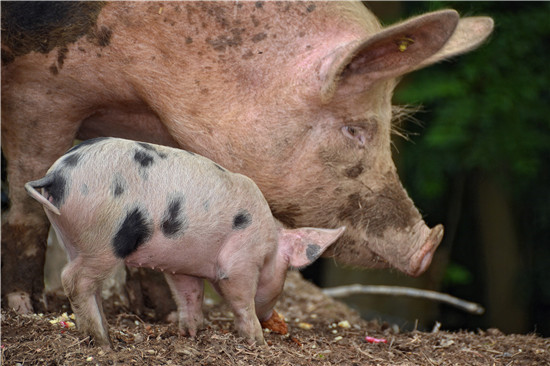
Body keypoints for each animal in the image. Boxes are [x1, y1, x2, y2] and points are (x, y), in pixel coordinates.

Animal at [0, 0, 492, 314]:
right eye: (355, 130)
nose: (428, 246)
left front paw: (161, 314)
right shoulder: (41, 88)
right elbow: (28, 203)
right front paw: (28, 310)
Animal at [27, 138, 344, 346]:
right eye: (287, 273)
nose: (272, 318)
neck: (270, 243)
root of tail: (56, 174)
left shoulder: (183, 266)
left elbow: (190, 295)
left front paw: (191, 334)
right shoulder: (241, 261)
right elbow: (240, 298)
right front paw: (257, 341)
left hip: (70, 236)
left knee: (85, 283)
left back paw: (103, 332)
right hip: (104, 238)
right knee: (73, 280)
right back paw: (104, 342)